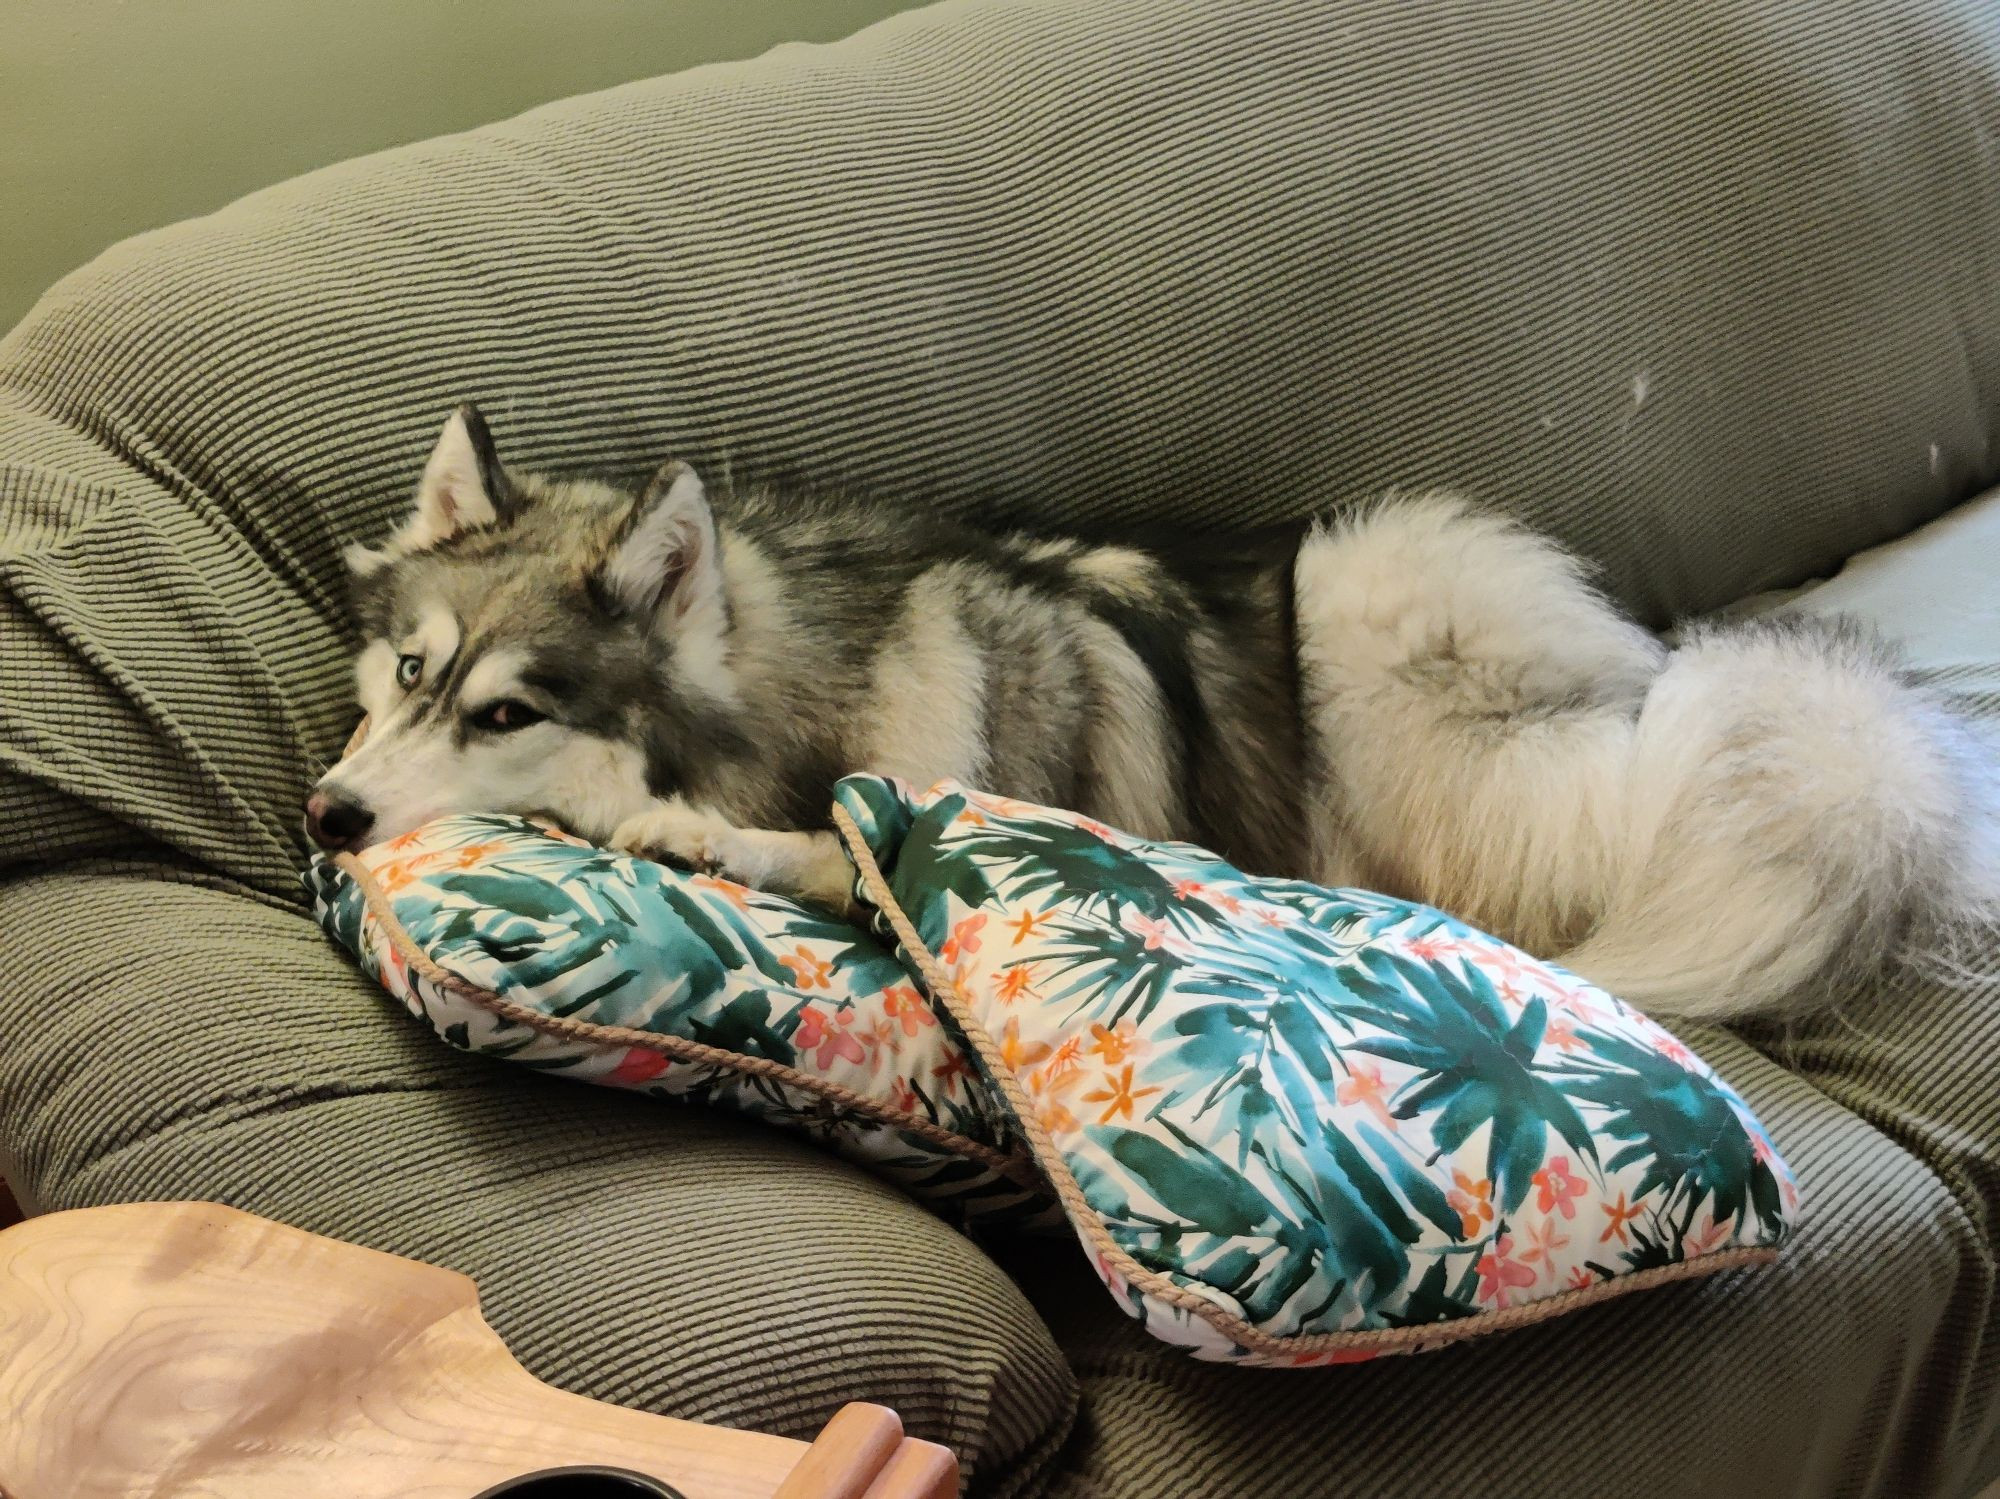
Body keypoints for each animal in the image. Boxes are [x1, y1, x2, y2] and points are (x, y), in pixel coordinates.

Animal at [300, 405, 2000, 1031]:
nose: (328, 815)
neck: (811, 680)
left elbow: (820, 842)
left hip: (1380, 586)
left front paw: (648, 816)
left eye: (509, 708)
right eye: (409, 673)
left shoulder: (957, 818)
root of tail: (1630, 694)